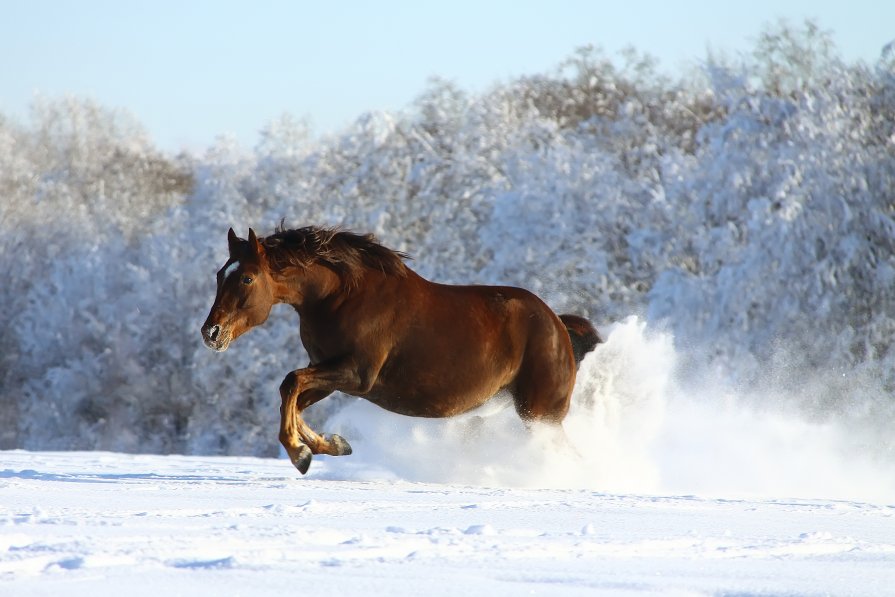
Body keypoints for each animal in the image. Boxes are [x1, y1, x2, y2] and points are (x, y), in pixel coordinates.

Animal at [200, 226, 600, 472]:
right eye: (220, 274)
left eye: (247, 277)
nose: (211, 332)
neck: (340, 297)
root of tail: (557, 325)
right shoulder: (329, 373)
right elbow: (293, 396)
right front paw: (332, 445)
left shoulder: (356, 374)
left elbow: (290, 383)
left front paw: (300, 454)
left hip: (540, 414)